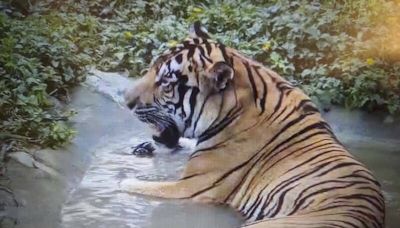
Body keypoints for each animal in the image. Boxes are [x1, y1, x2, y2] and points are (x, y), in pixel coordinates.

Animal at [121, 21, 384, 228]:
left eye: (166, 82)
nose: (126, 100)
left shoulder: (193, 188)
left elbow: (137, 186)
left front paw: (122, 180)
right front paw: (143, 148)